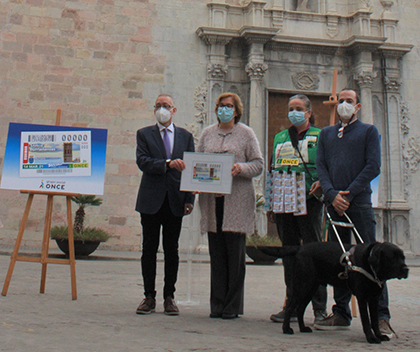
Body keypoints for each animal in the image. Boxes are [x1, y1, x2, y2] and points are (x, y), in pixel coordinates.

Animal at [264, 242, 408, 344]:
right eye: (392, 259)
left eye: (403, 258)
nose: (406, 269)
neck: (369, 266)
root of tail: (300, 248)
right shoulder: (362, 298)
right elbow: (366, 321)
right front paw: (371, 338)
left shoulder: (374, 299)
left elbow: (374, 321)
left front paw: (379, 335)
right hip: (302, 286)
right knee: (290, 307)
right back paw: (286, 329)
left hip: (311, 288)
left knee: (300, 309)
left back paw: (303, 328)